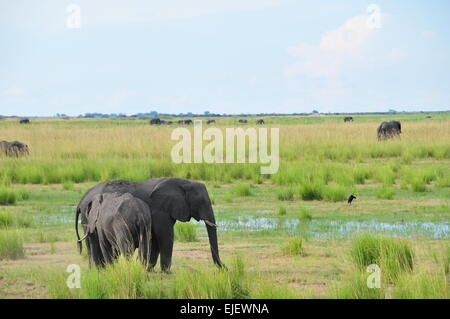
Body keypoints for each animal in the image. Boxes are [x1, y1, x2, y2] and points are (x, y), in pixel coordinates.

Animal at [77, 178, 227, 272]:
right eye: (201, 202)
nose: (226, 269)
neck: (184, 182)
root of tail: (81, 200)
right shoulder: (160, 210)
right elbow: (165, 236)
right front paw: (165, 271)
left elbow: (155, 239)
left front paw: (148, 268)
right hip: (90, 217)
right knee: (95, 242)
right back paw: (100, 269)